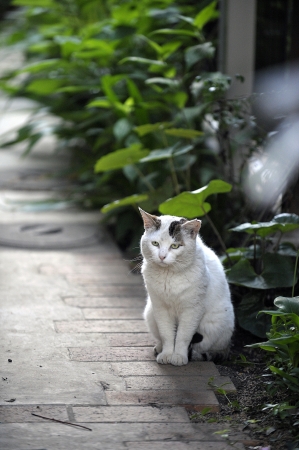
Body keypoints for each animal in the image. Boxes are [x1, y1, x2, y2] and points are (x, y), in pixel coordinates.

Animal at [139, 207, 236, 366]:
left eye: (175, 246)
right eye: (155, 244)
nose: (162, 256)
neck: (169, 276)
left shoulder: (192, 310)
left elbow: (183, 336)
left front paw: (178, 356)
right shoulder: (160, 307)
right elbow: (166, 334)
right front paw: (167, 354)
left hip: (218, 323)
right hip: (150, 313)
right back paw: (159, 348)